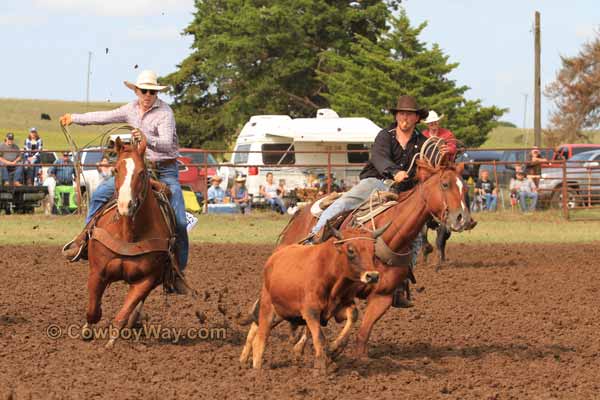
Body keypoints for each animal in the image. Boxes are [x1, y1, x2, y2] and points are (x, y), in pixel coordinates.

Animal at [84, 137, 178, 346]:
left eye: (142, 172)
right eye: (116, 170)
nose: (125, 205)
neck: (127, 234)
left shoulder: (145, 280)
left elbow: (122, 316)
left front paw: (110, 346)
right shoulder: (97, 272)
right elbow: (92, 310)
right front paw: (87, 331)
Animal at [240, 223, 394, 374]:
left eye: (373, 251)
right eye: (351, 250)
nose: (373, 276)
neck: (329, 271)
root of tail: (274, 257)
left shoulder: (339, 308)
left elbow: (353, 315)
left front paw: (334, 349)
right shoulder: (311, 311)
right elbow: (319, 336)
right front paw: (321, 365)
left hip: (283, 312)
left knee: (255, 326)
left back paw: (244, 359)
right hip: (269, 307)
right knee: (260, 337)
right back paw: (257, 369)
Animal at [278, 159, 472, 356]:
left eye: (465, 188)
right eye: (445, 184)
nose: (463, 219)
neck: (387, 238)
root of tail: (301, 210)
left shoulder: (382, 297)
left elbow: (363, 333)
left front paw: (357, 357)